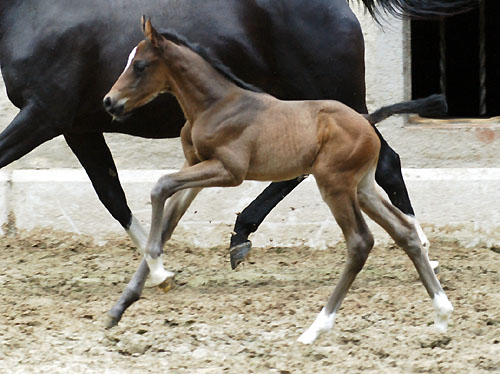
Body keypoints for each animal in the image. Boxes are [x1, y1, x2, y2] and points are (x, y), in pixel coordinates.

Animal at [102, 18, 454, 344]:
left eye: (139, 66)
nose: (109, 101)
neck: (215, 105)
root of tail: (366, 121)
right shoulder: (196, 168)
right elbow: (167, 221)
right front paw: (121, 307)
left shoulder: (229, 171)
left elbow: (159, 186)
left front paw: (158, 266)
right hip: (362, 187)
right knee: (404, 232)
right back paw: (442, 314)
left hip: (334, 184)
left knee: (359, 242)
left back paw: (315, 329)